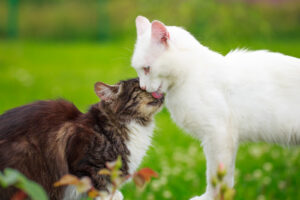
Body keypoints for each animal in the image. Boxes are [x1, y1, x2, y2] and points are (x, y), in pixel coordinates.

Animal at [131, 16, 300, 200]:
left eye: (147, 68)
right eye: (138, 70)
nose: (143, 87)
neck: (190, 74)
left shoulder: (219, 135)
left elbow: (217, 177)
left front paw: (212, 196)